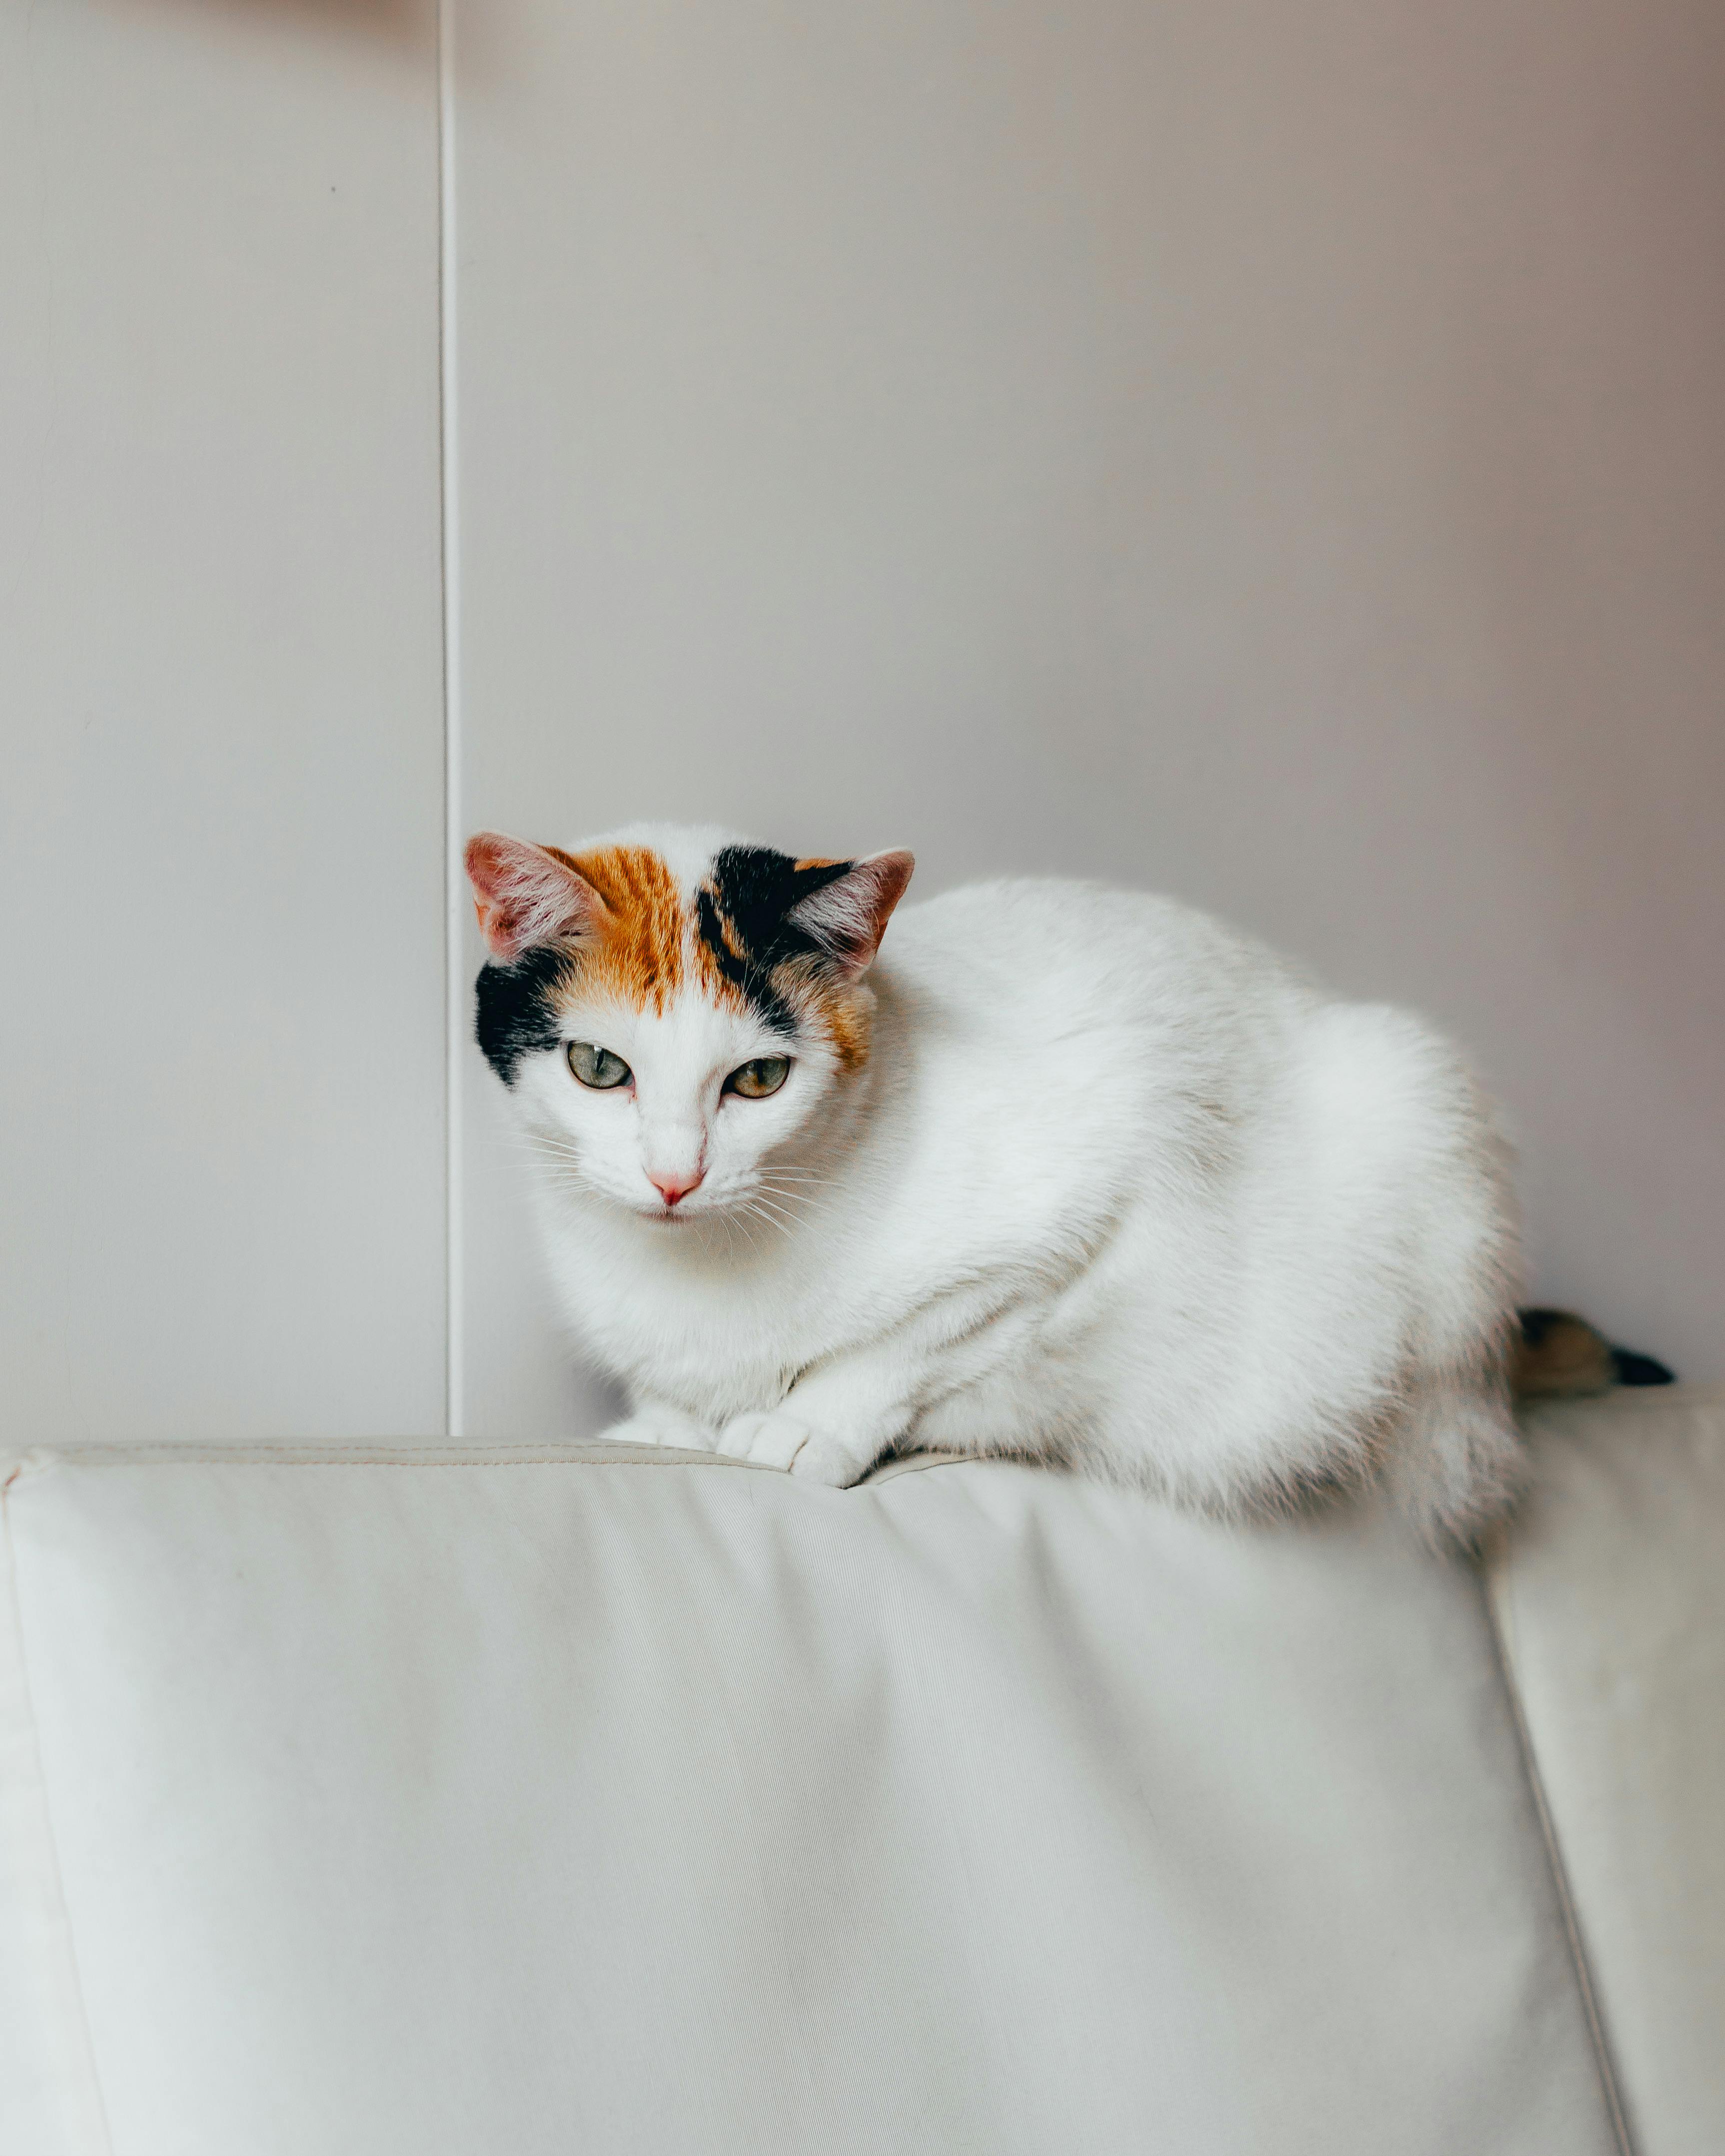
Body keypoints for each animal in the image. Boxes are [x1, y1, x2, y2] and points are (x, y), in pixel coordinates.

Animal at [468, 815, 1527, 1543]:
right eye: (599, 1066)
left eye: (759, 1079)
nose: (674, 1178)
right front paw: (667, 1426)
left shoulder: (1086, 1210)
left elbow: (906, 1344)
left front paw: (804, 1428)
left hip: (1412, 1098)